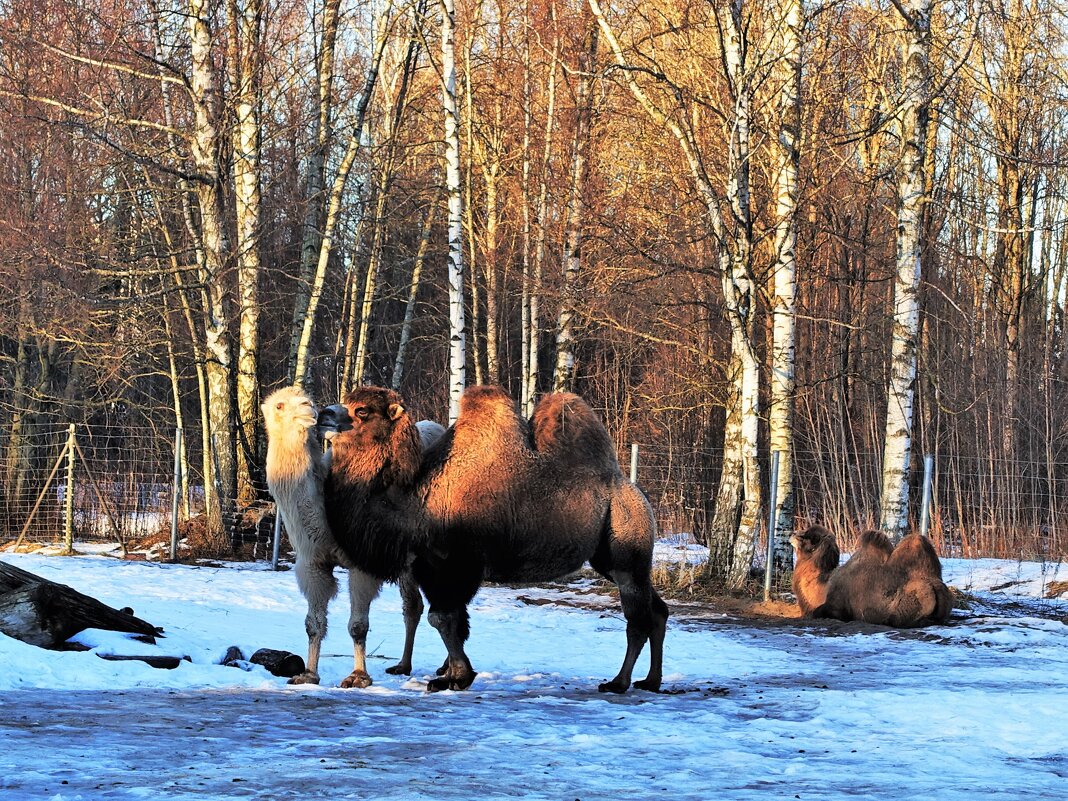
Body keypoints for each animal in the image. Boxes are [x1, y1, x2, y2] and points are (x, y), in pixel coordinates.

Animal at [261, 386, 442, 687]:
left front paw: (358, 676)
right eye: (279, 405)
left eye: (307, 398)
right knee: (413, 605)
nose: (311, 409)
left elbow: (358, 626)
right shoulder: (312, 563)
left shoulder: (362, 562)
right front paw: (308, 674)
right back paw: (403, 665)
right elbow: (313, 624)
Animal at [322, 386, 666, 692]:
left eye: (362, 411)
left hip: (628, 547)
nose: (325, 414)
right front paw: (449, 677)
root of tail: (635, 492)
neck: (416, 498)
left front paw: (459, 676)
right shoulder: (430, 566)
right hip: (608, 559)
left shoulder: (460, 564)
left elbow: (443, 618)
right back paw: (650, 681)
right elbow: (450, 621)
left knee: (637, 619)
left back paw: (618, 683)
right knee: (657, 609)